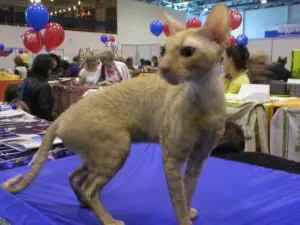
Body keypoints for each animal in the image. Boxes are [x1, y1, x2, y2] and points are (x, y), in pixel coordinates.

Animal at [1, 3, 230, 225]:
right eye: (164, 50)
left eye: (187, 51)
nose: (162, 68)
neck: (206, 98)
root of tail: (62, 115)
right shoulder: (172, 157)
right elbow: (178, 198)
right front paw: (184, 219)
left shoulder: (199, 156)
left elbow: (188, 189)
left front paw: (189, 212)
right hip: (116, 148)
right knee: (90, 188)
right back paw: (108, 219)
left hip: (96, 155)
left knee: (73, 176)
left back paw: (85, 205)